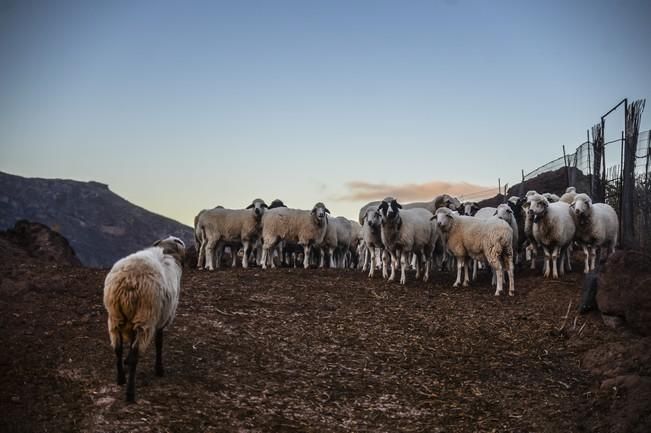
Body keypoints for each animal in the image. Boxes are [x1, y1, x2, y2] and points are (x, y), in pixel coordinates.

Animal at [103, 236, 186, 402]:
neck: (167, 251)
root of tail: (128, 282)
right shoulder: (162, 319)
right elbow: (159, 343)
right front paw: (159, 369)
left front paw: (126, 362)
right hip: (146, 318)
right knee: (136, 354)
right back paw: (130, 393)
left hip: (114, 317)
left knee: (117, 348)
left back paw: (121, 379)